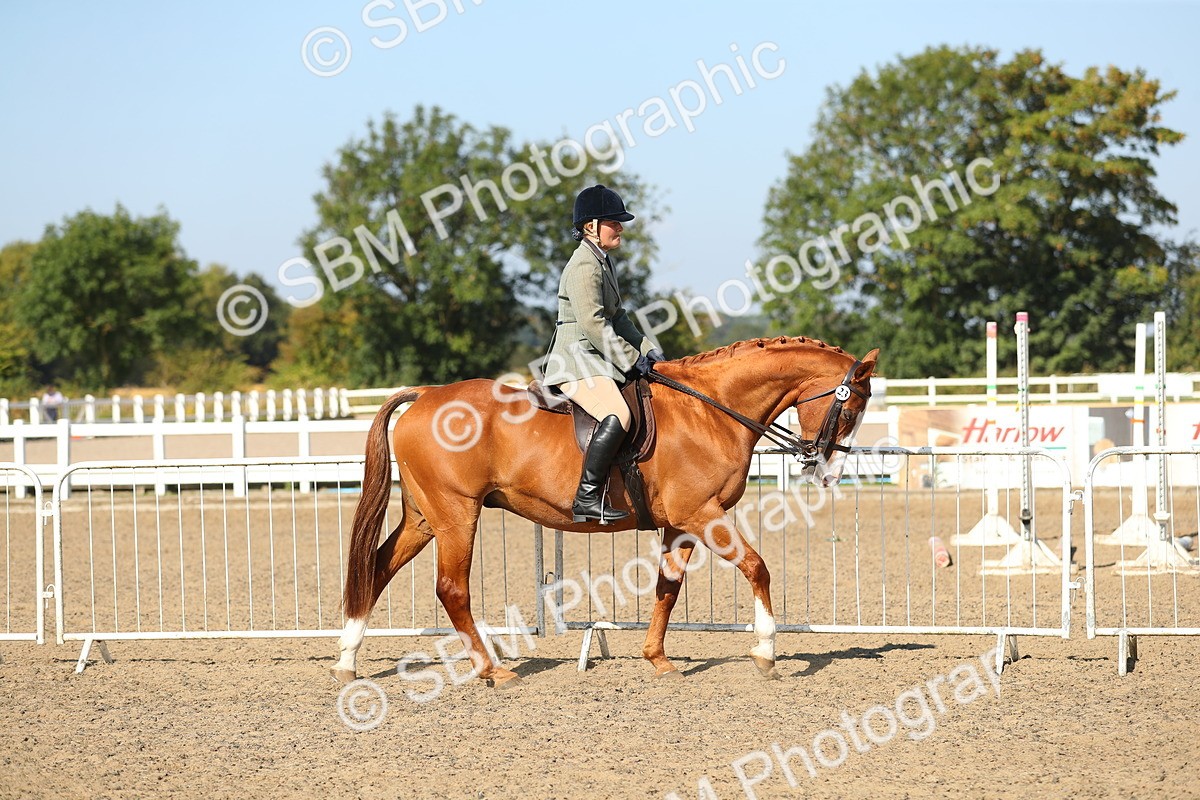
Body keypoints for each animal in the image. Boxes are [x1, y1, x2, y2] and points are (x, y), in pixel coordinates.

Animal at [333, 336, 879, 687]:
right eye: (850, 411)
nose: (828, 474)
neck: (710, 409)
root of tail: (427, 394)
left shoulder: (679, 525)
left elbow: (667, 588)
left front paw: (657, 659)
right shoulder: (702, 513)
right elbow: (756, 567)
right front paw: (765, 652)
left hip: (425, 517)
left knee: (376, 568)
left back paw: (347, 658)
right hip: (457, 515)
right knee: (451, 589)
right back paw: (493, 671)